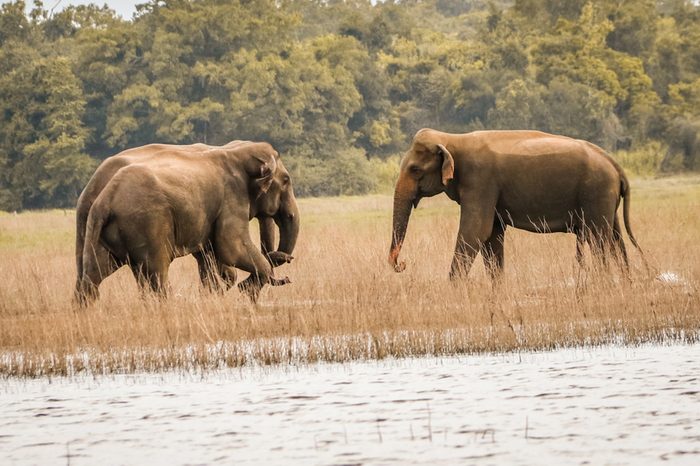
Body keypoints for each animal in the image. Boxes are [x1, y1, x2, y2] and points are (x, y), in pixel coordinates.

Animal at [75, 140, 300, 304]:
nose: (289, 260)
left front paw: (218, 294)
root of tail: (105, 198)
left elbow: (211, 256)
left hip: (99, 229)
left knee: (94, 274)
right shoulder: (232, 197)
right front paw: (244, 290)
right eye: (286, 180)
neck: (236, 151)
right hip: (149, 223)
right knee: (156, 272)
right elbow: (231, 248)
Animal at [388, 127, 644, 280]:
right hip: (605, 198)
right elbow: (492, 235)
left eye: (415, 169)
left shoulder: (480, 181)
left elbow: (475, 232)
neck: (452, 138)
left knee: (599, 237)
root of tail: (615, 164)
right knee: (615, 237)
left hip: (596, 193)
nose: (403, 264)